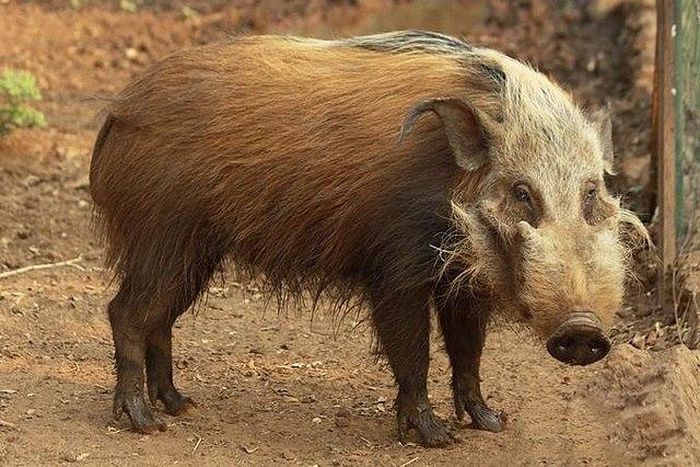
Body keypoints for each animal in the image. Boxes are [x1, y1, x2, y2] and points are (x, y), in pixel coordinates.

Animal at [89, 31, 647, 446]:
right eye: (522, 192)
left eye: (592, 191)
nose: (583, 330)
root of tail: (117, 112)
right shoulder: (395, 271)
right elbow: (413, 350)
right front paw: (437, 437)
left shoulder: (460, 283)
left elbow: (469, 350)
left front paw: (492, 423)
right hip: (162, 238)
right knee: (126, 313)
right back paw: (144, 422)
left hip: (193, 253)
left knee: (160, 318)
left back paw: (181, 405)